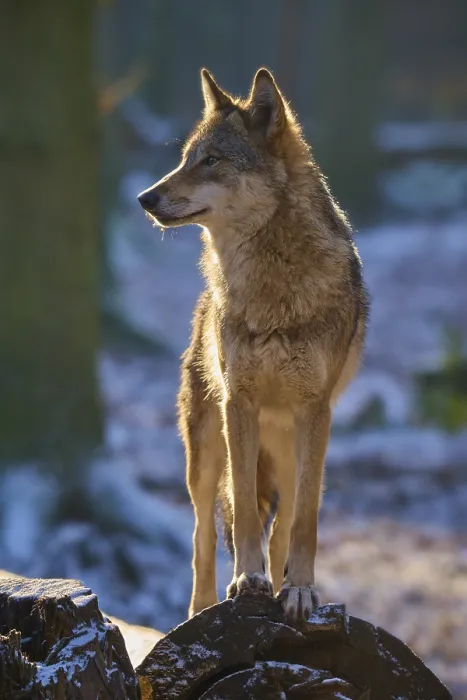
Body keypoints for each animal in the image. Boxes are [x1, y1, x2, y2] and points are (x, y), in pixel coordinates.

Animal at [138, 67, 369, 622]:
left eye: (212, 161)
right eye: (186, 158)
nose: (144, 199)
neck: (272, 288)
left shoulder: (314, 411)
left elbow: (303, 522)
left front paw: (300, 590)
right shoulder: (238, 404)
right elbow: (242, 509)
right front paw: (248, 580)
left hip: (290, 446)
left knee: (284, 524)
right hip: (203, 452)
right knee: (201, 535)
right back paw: (201, 609)